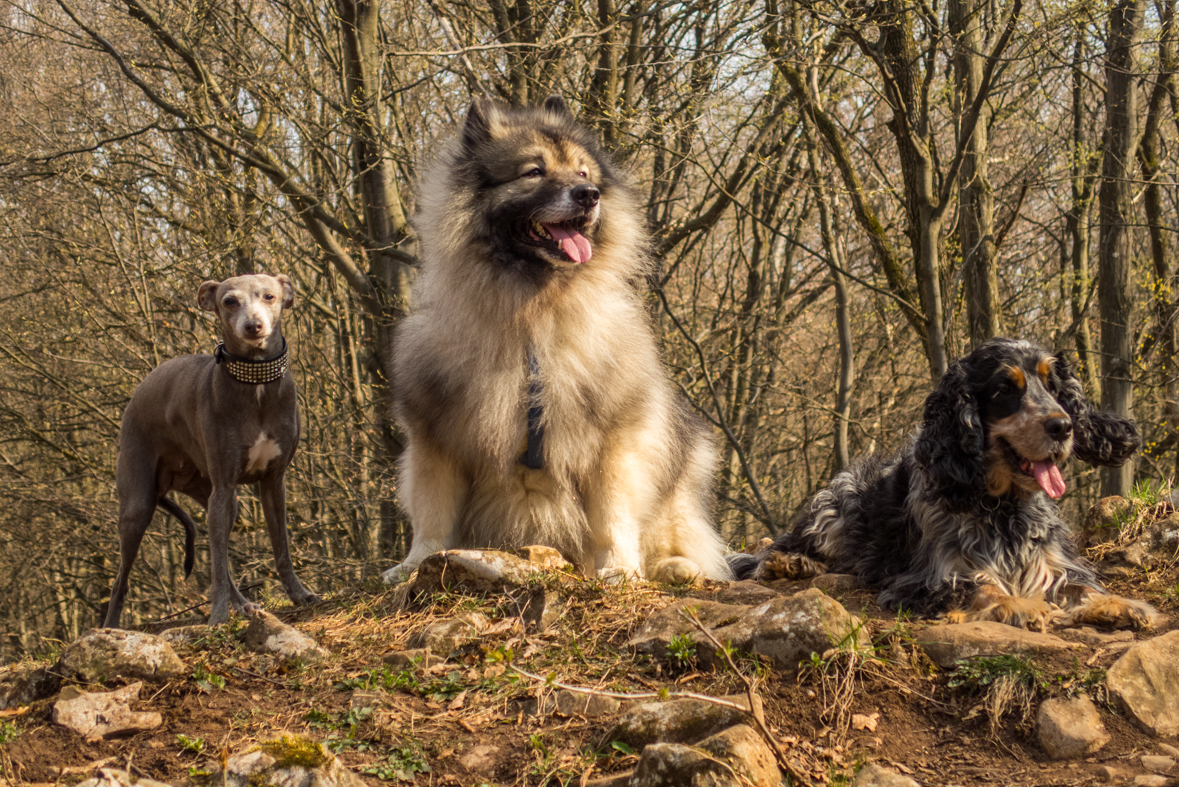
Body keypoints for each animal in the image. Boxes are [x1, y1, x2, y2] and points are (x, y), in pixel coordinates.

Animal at [105, 272, 315, 626]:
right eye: (229, 301)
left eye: (270, 296)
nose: (253, 326)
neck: (255, 382)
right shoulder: (224, 484)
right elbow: (217, 564)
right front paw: (217, 616)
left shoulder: (273, 484)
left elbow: (281, 550)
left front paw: (299, 594)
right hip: (139, 506)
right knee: (121, 579)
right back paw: (109, 627)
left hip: (223, 501)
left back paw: (242, 604)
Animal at [381, 96, 726, 584]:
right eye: (533, 172)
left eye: (583, 172)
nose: (588, 195)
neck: (534, 313)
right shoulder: (436, 437)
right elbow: (432, 512)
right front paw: (415, 564)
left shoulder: (613, 441)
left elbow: (613, 514)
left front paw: (620, 568)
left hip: (681, 467)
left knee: (674, 536)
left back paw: (677, 568)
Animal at [730, 334, 1155, 631]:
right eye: (1005, 389)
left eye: (1053, 387)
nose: (1063, 426)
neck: (1000, 506)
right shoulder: (928, 579)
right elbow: (982, 586)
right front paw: (1021, 605)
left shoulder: (1050, 560)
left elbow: (1079, 585)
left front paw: (1119, 605)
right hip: (835, 508)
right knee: (775, 549)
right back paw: (790, 563)